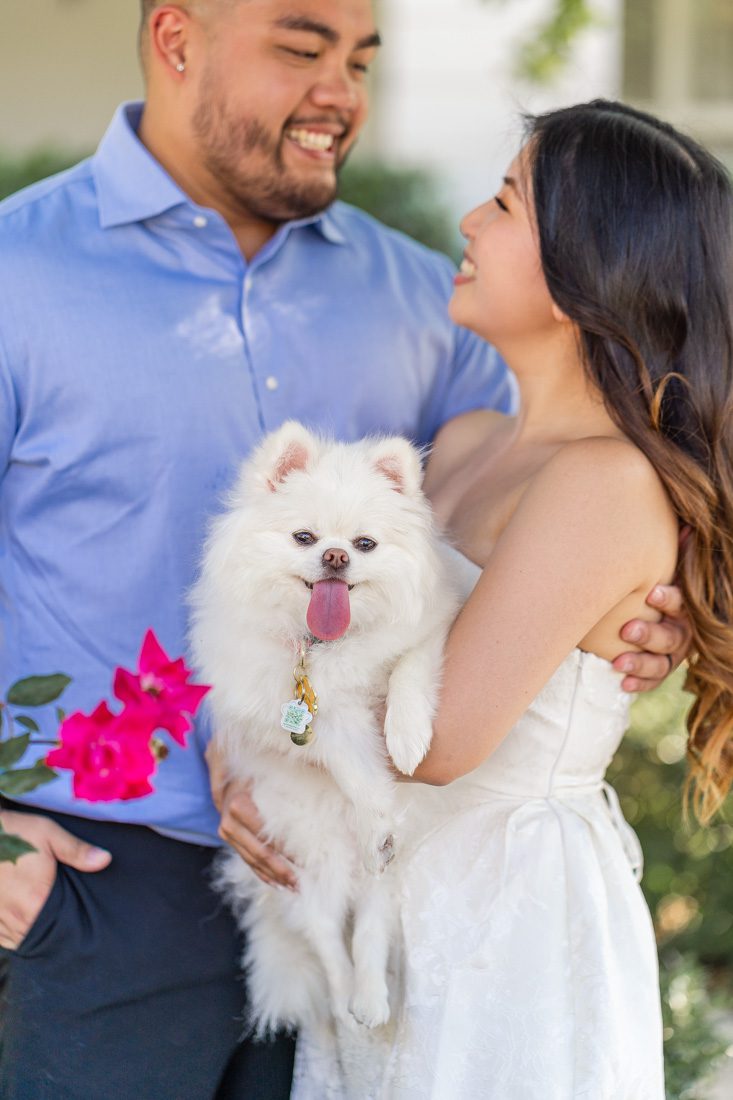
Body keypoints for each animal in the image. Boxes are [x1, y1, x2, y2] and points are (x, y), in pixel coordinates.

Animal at [191, 420, 460, 1038]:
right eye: (304, 537)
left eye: (365, 545)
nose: (335, 556)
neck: (328, 644)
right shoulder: (316, 719)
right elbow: (356, 769)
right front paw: (375, 804)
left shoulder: (432, 628)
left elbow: (409, 673)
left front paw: (406, 738)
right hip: (305, 862)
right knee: (325, 936)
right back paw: (345, 1001)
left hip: (375, 881)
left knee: (370, 927)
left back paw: (371, 999)